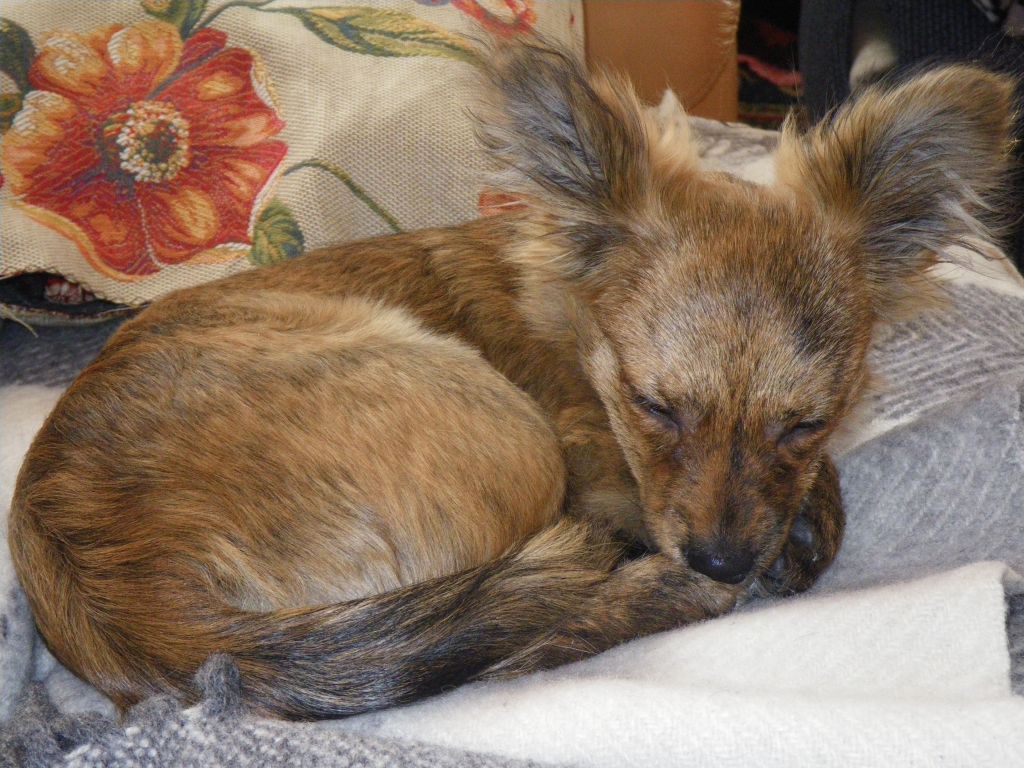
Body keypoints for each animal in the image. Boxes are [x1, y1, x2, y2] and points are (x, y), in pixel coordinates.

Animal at [8, 40, 1015, 720]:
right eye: (653, 405)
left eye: (808, 422)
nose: (723, 561)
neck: (575, 335)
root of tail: (154, 610)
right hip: (500, 427)